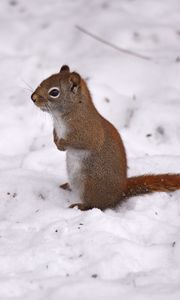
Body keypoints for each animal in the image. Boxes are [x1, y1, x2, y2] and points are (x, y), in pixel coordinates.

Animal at [31, 65, 180, 211]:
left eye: (54, 92)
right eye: (43, 81)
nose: (33, 97)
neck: (63, 116)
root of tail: (120, 193)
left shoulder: (88, 132)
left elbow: (79, 141)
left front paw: (62, 144)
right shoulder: (57, 128)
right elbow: (55, 135)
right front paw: (56, 141)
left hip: (90, 185)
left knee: (96, 205)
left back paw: (80, 205)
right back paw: (66, 186)